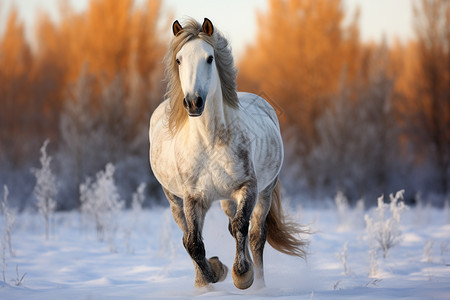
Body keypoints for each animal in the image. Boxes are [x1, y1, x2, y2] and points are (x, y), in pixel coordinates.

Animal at [149, 17, 308, 290]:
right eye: (179, 59)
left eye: (209, 58)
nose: (193, 102)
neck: (209, 142)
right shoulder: (193, 198)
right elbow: (194, 243)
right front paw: (212, 275)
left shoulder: (248, 188)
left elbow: (243, 228)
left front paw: (241, 275)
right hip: (178, 199)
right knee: (189, 236)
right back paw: (202, 281)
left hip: (263, 191)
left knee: (255, 235)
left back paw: (259, 284)